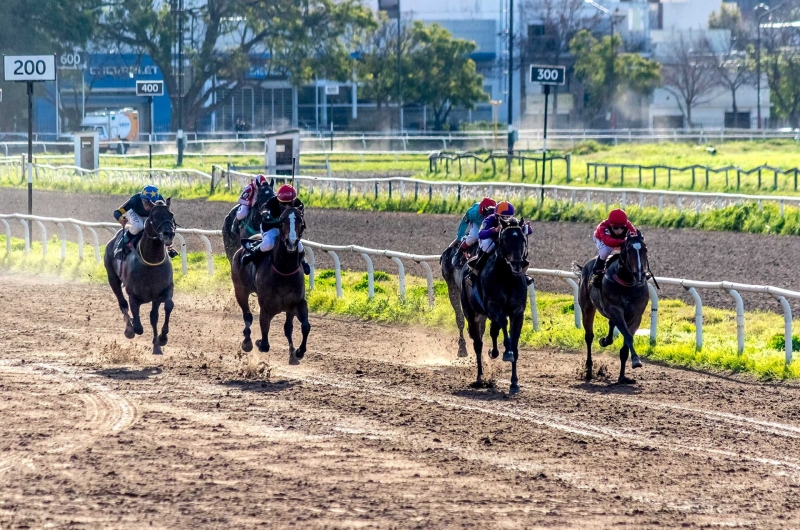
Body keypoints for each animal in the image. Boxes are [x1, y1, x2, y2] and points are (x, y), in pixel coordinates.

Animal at [103, 200, 177, 352]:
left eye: (171, 214)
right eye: (155, 216)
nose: (169, 234)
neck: (151, 262)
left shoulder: (164, 291)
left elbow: (165, 308)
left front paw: (161, 338)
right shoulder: (133, 295)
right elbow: (138, 326)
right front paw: (132, 326)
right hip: (112, 278)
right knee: (122, 304)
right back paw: (128, 328)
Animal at [230, 206, 310, 364]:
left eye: (301, 222)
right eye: (282, 221)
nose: (292, 242)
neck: (285, 271)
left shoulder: (298, 303)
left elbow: (305, 326)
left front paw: (299, 351)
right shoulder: (266, 307)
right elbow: (265, 341)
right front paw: (258, 342)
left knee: (288, 327)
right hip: (240, 290)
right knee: (247, 316)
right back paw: (247, 342)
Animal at [460, 217, 528, 394]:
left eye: (522, 239)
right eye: (505, 239)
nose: (517, 264)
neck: (507, 277)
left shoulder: (518, 312)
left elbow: (514, 344)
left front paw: (514, 382)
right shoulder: (493, 306)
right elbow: (504, 324)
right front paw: (507, 351)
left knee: (493, 331)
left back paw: (494, 352)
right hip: (471, 312)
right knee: (478, 343)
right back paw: (480, 377)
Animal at [572, 231, 652, 384]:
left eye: (645, 249)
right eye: (629, 250)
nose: (640, 274)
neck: (627, 282)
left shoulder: (636, 315)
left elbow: (626, 342)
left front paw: (623, 376)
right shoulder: (615, 309)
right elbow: (627, 336)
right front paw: (636, 360)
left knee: (610, 325)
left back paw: (605, 341)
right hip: (587, 307)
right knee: (589, 337)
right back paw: (589, 370)